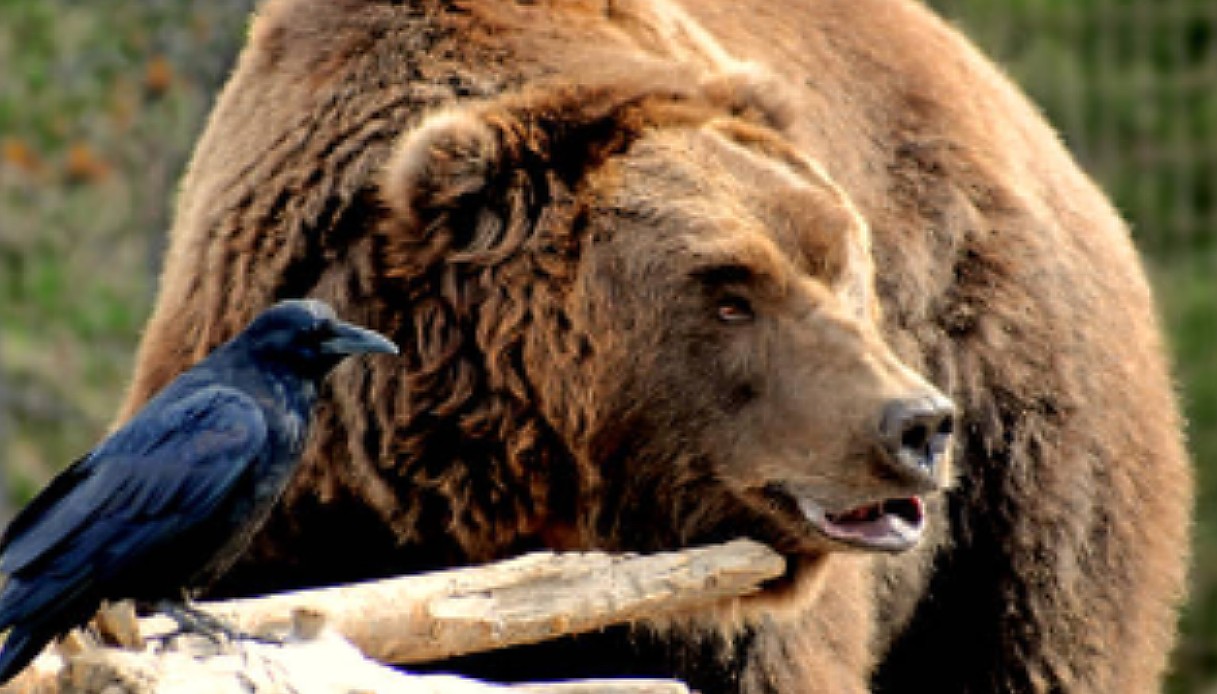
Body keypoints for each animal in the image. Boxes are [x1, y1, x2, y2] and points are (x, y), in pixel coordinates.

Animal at [121, 1, 1187, 691]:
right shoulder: (292, 501)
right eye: (729, 293)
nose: (917, 426)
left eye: (841, 261)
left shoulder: (717, 608)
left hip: (1034, 459)